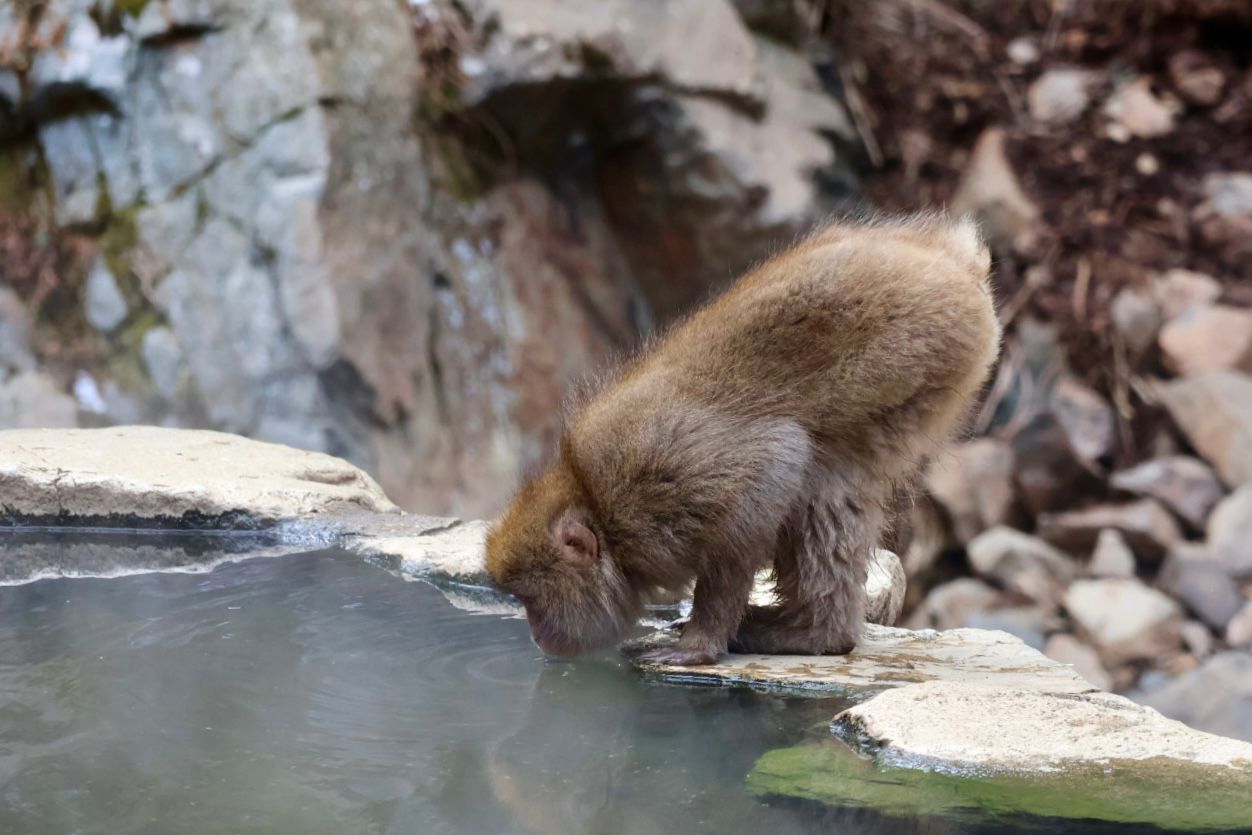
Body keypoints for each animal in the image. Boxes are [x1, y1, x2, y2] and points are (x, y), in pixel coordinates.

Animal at [486, 213, 1002, 666]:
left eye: (530, 598)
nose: (534, 633)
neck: (593, 500)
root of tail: (952, 259)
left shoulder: (659, 475)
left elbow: (773, 465)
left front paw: (701, 642)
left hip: (914, 351)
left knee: (819, 479)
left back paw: (815, 635)